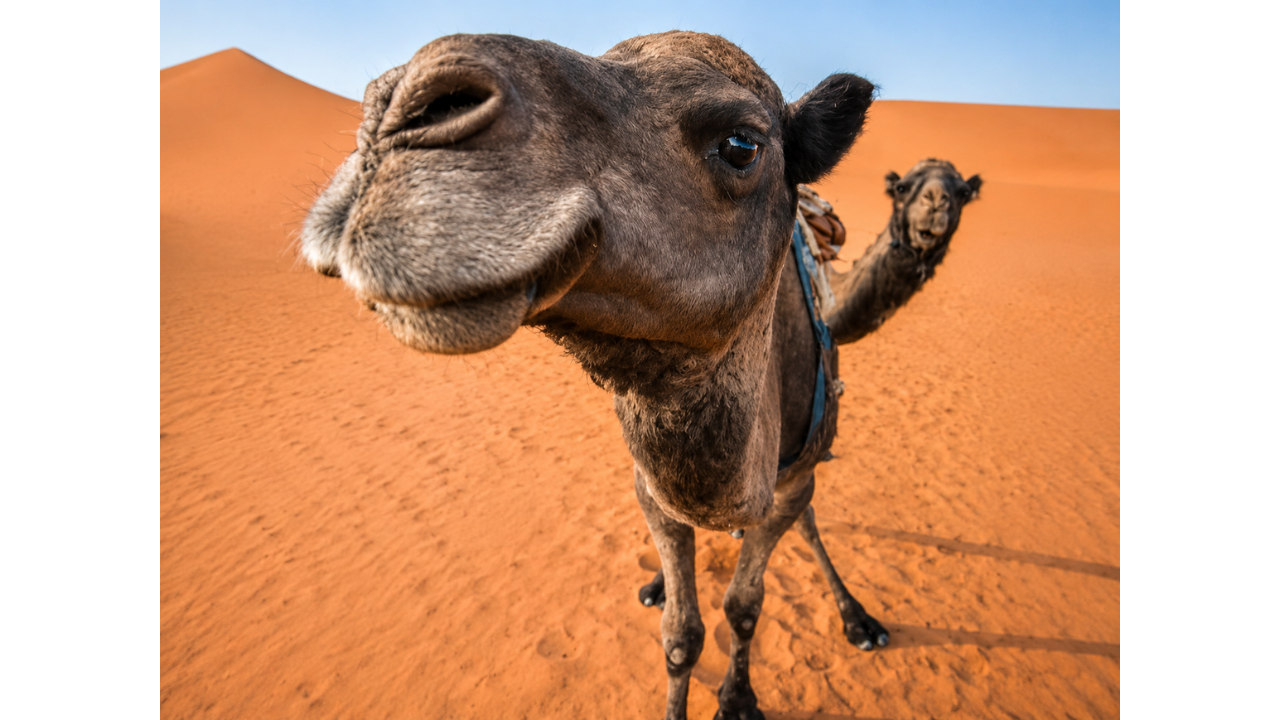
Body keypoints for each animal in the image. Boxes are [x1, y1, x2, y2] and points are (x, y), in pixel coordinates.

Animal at [299, 32, 980, 720]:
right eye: (906, 189)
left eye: (741, 144)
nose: (395, 109)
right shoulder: (650, 485)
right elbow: (681, 634)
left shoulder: (790, 480)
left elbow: (746, 604)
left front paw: (740, 697)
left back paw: (857, 618)